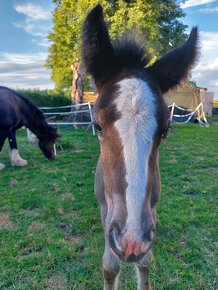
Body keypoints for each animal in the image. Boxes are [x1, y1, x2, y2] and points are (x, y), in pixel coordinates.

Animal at [82, 3, 198, 288]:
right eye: (97, 125)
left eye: (166, 130)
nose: (131, 241)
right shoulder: (107, 210)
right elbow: (110, 265)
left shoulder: (149, 212)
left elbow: (145, 262)